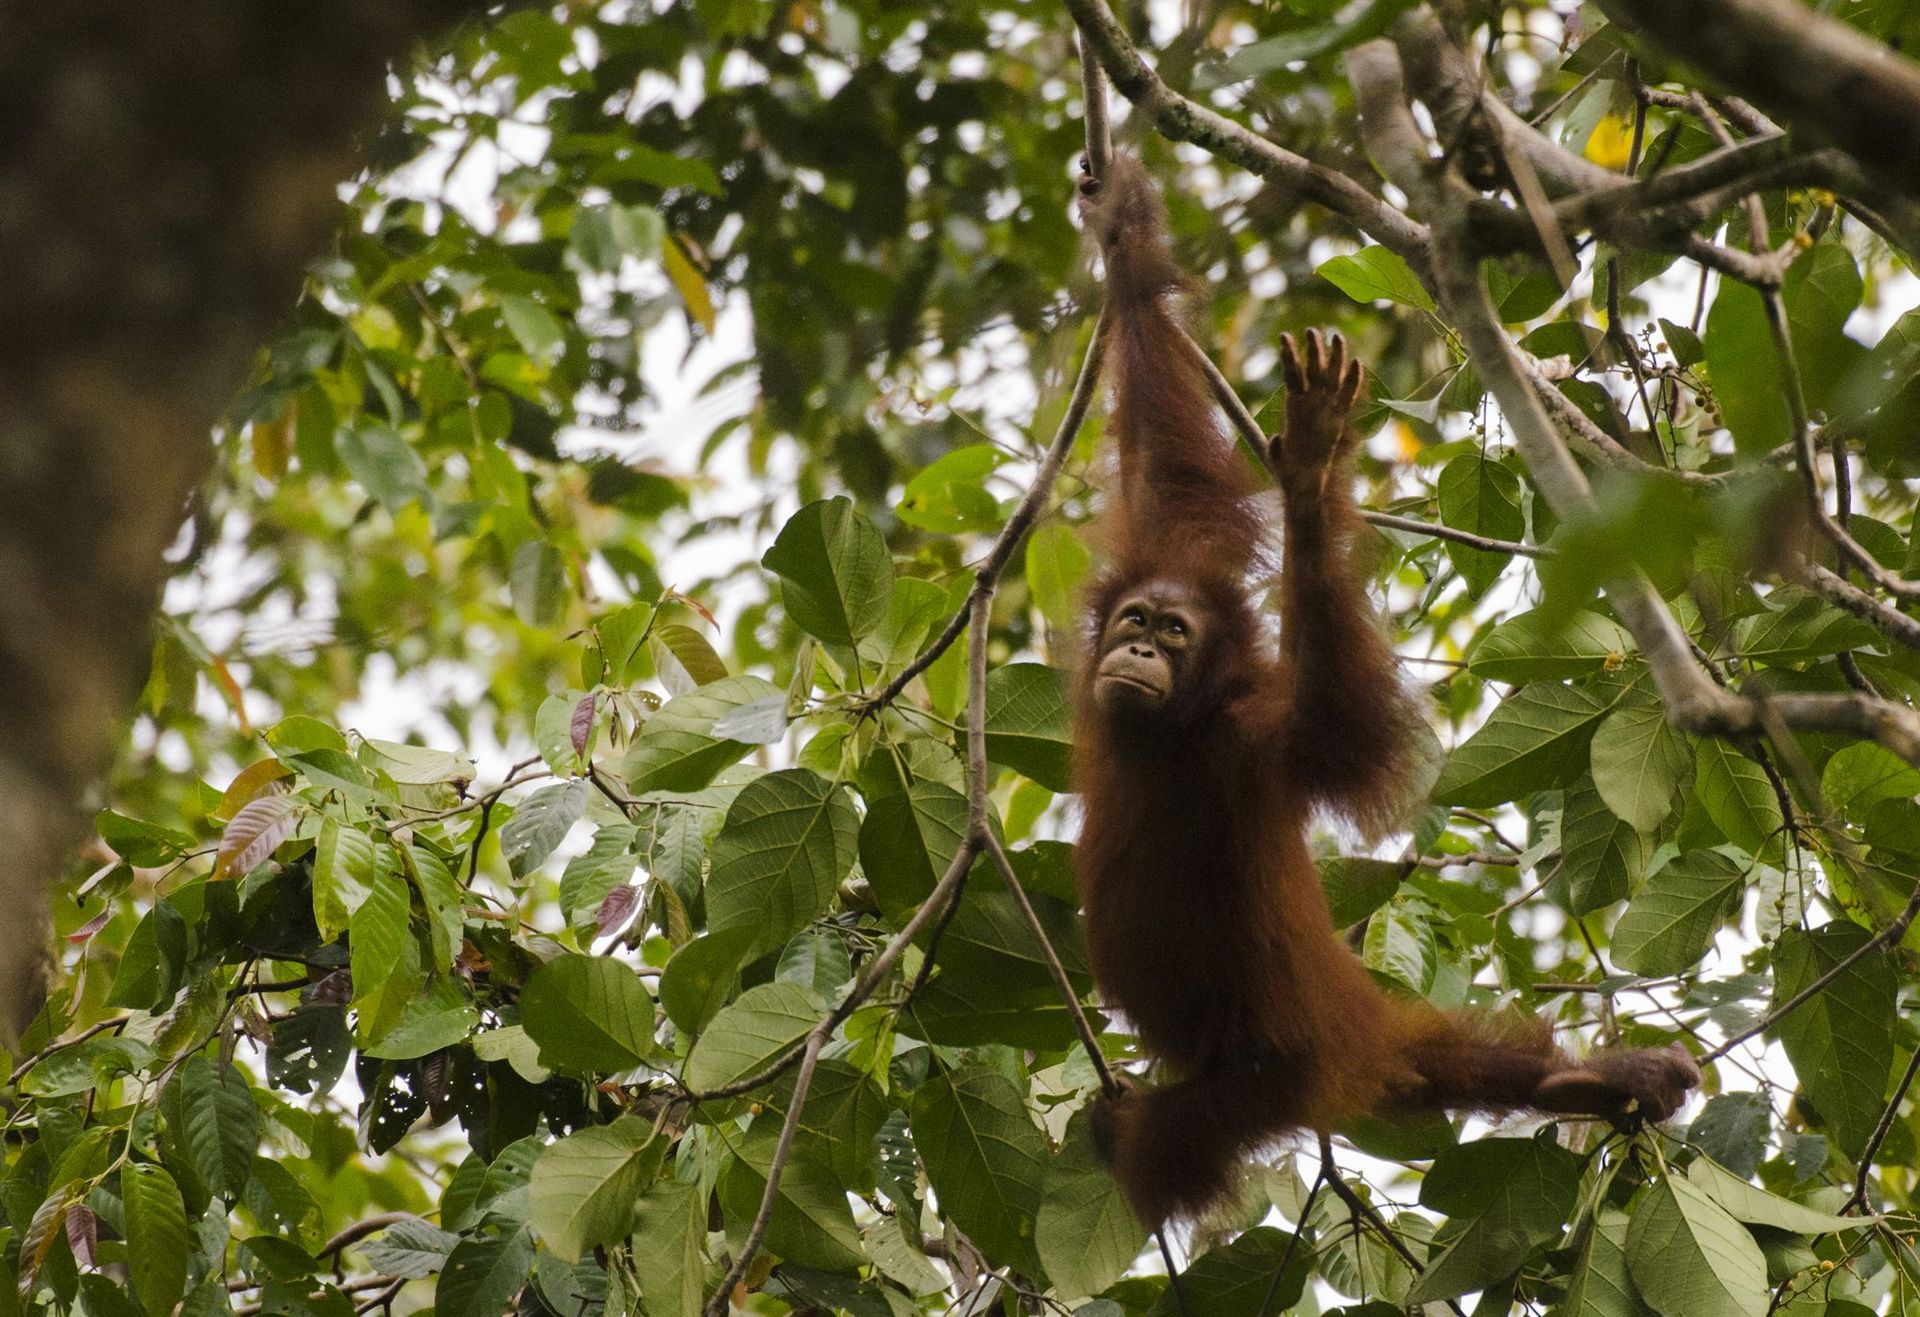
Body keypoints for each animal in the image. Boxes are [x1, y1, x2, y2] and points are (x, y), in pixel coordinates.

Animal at [1069, 155, 1700, 1228]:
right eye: (1138, 619)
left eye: (1174, 635)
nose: (1141, 650)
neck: (1169, 734)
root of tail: (1354, 1027)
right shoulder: (1172, 546)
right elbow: (1166, 458)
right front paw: (1123, 227)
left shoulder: (1249, 740)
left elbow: (1340, 731)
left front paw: (1313, 476)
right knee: (1449, 1061)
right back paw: (1582, 1081)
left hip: (1271, 1072)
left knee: (1173, 1140)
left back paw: (1132, 1143)